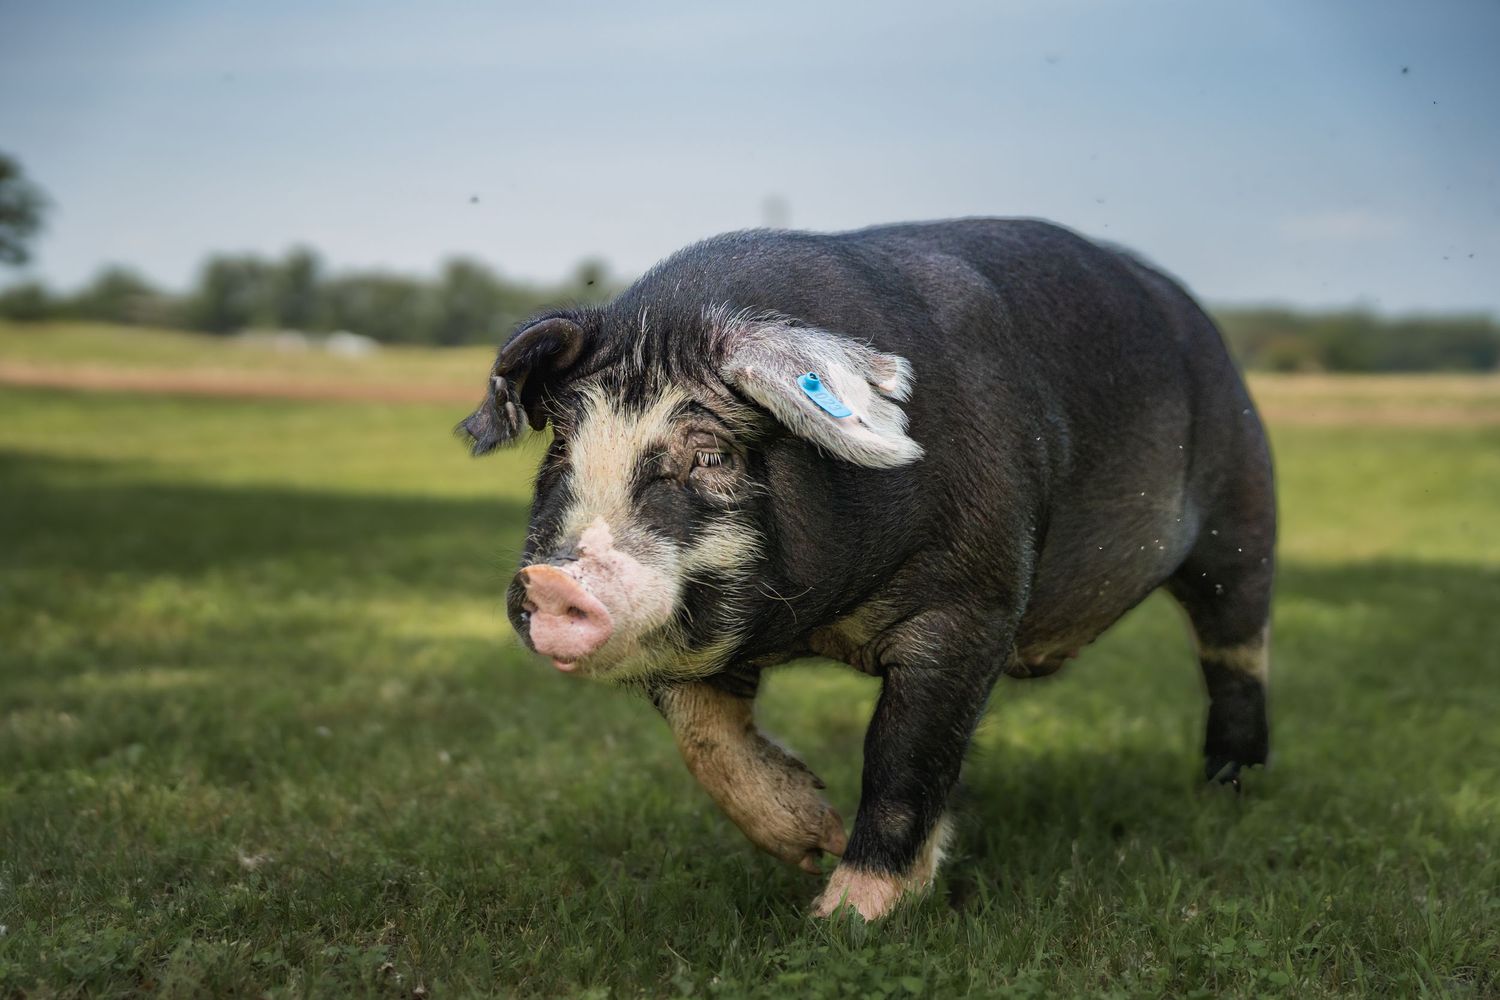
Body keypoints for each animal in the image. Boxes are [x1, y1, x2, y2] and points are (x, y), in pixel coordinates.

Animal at [460, 218, 1275, 920]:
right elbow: (704, 735)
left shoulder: (976, 598)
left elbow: (905, 752)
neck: (818, 629)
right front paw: (811, 838)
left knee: (1237, 649)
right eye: (561, 451)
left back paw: (1230, 792)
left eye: (713, 456)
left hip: (1242, 508)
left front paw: (844, 915)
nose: (551, 582)